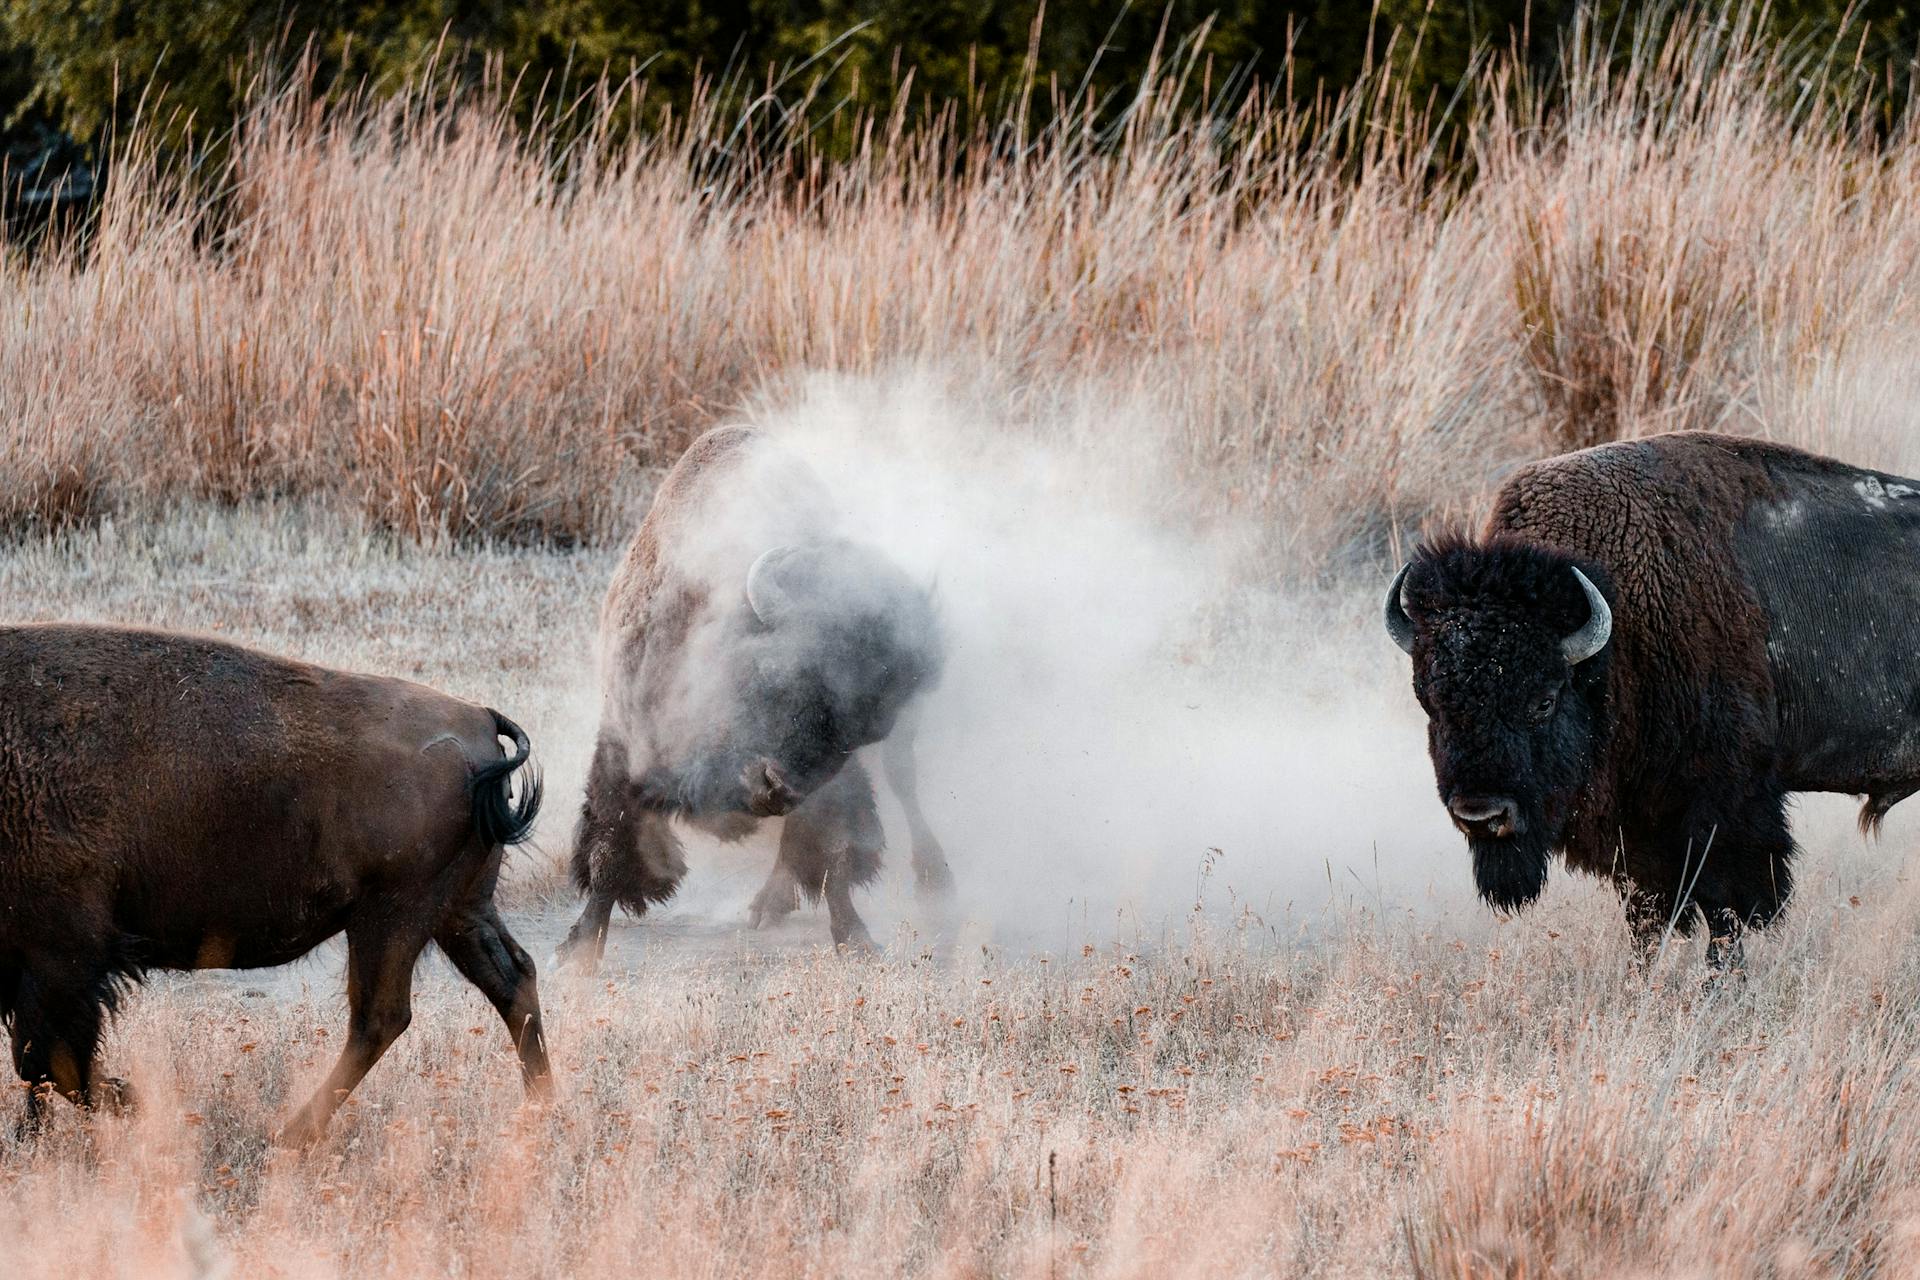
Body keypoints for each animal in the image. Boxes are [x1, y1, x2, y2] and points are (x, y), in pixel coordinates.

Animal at [1, 625, 556, 1136]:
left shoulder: (63, 954)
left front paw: (133, 1104)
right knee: (510, 977)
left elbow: (46, 1060)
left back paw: (292, 1134)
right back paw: (540, 1109)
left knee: (381, 1017)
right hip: (457, 910)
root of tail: (479, 719)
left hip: (392, 917)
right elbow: (38, 1062)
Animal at [556, 426, 944, 967]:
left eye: (859, 731)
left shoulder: (838, 781)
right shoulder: (624, 741)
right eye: (779, 674)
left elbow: (833, 853)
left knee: (902, 783)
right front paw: (577, 954)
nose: (776, 787)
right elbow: (610, 848)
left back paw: (931, 875)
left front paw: (856, 939)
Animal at [1390, 435, 1920, 967]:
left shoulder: (1722, 809)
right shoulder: (1638, 833)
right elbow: (1647, 916)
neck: (1619, 623)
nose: (1481, 816)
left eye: (1544, 700)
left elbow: (1725, 910)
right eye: (1430, 702)